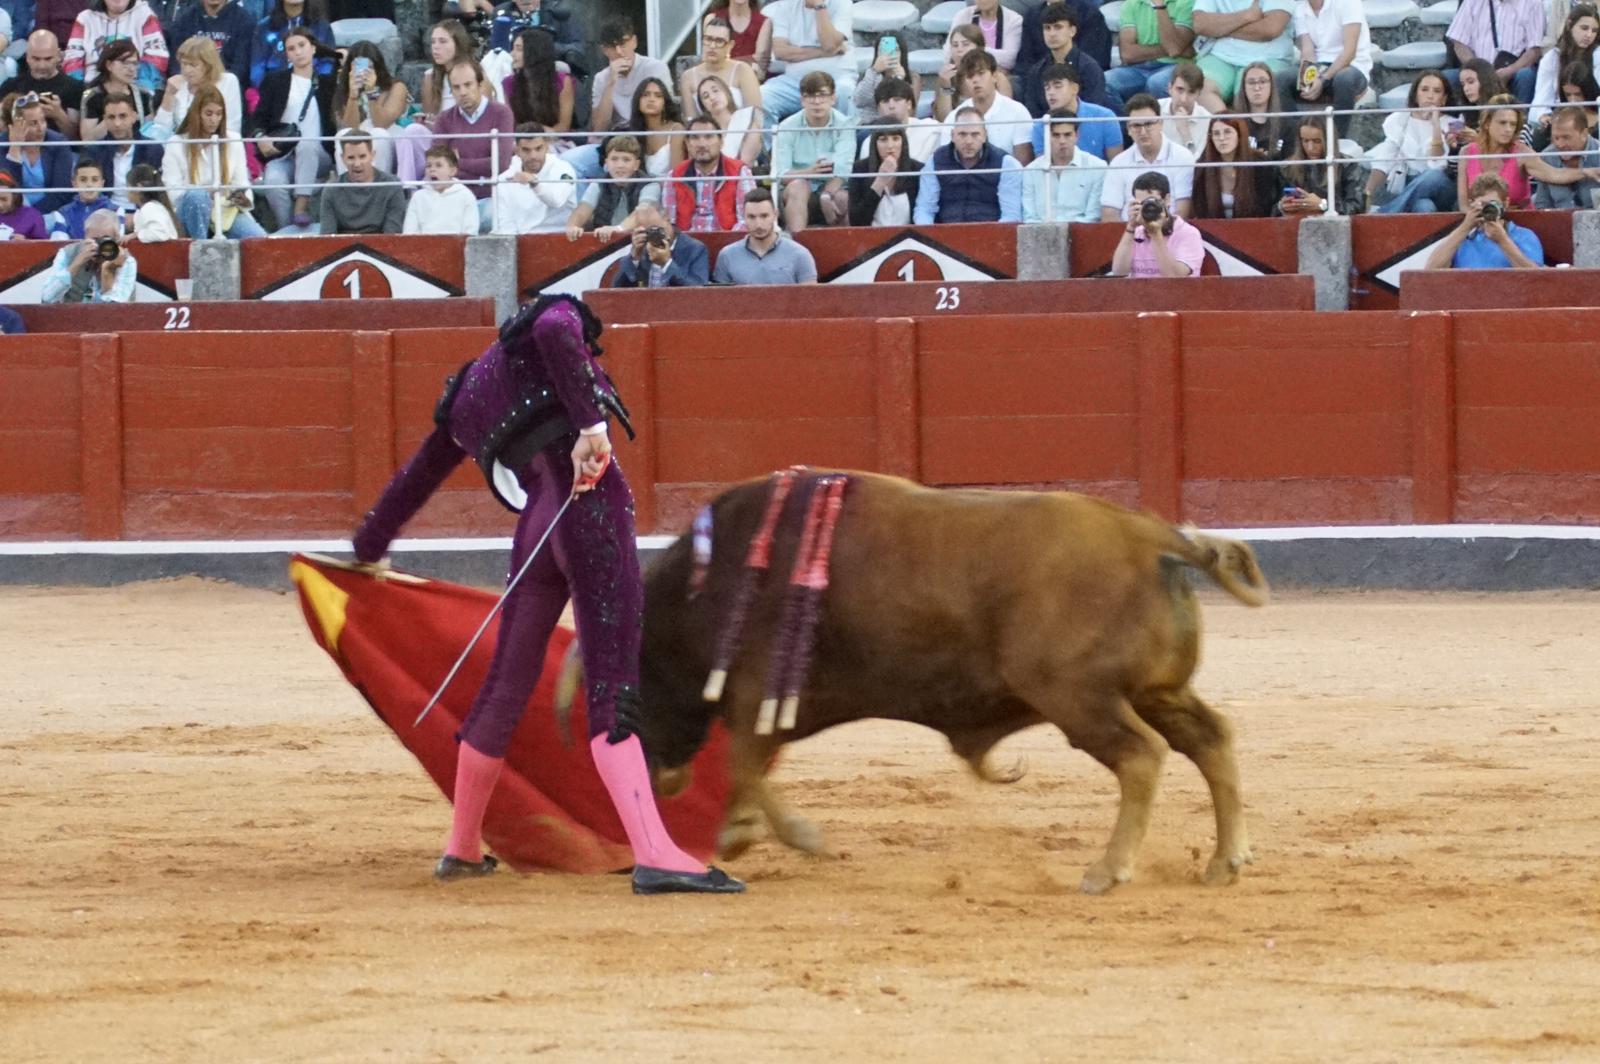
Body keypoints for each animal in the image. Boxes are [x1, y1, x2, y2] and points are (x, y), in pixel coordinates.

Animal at [563, 470, 1260, 889]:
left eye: (632, 695)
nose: (657, 778)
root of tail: (1151, 536)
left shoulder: (756, 691)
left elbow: (743, 762)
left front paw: (768, 836)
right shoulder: (768, 702)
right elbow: (749, 764)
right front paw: (752, 833)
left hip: (1080, 698)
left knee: (1142, 756)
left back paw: (1107, 870)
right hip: (1155, 691)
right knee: (1212, 739)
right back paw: (1225, 860)